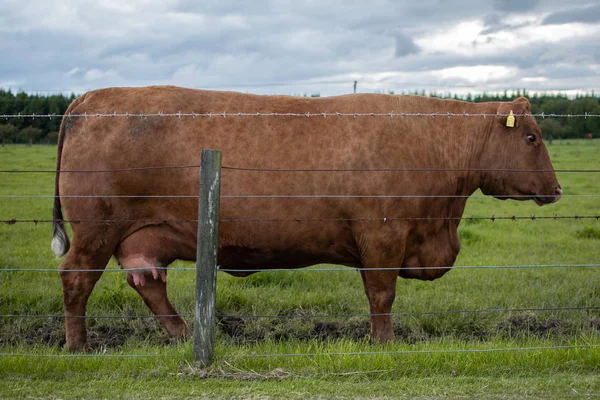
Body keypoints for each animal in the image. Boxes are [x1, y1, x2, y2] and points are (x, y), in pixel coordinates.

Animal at [52, 86, 564, 350]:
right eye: (532, 138)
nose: (557, 190)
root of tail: (89, 99)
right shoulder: (382, 235)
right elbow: (382, 294)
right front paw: (384, 342)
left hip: (139, 238)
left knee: (150, 285)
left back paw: (184, 335)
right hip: (96, 230)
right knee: (76, 279)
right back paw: (78, 345)